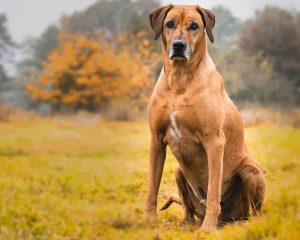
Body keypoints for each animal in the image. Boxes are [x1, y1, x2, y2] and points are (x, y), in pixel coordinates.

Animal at [146, 4, 266, 232]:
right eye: (170, 24)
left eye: (194, 26)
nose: (179, 45)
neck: (180, 79)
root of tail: (228, 219)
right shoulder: (156, 139)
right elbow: (152, 187)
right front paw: (149, 221)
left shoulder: (214, 141)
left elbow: (213, 192)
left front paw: (208, 229)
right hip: (178, 171)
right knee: (187, 209)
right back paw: (186, 222)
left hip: (251, 172)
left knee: (253, 212)